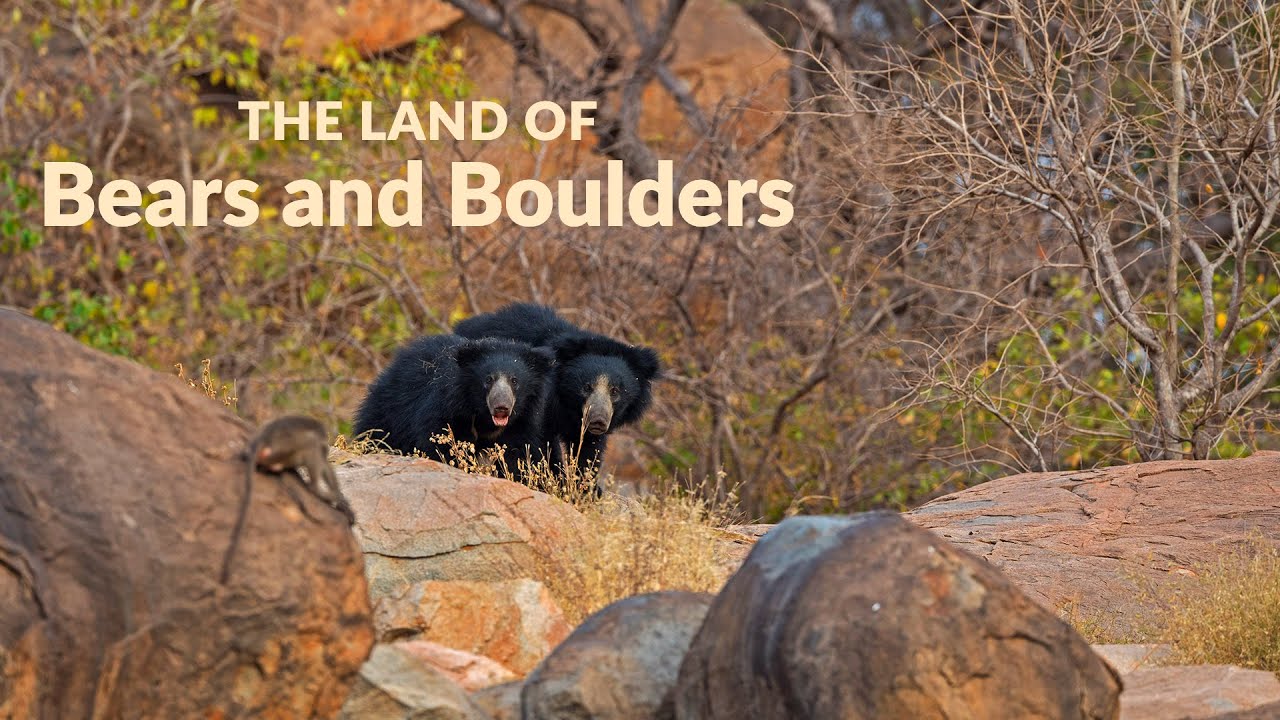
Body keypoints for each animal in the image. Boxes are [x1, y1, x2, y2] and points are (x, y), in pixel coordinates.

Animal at [353, 334, 555, 480]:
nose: (501, 407)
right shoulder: (448, 412)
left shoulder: (521, 425)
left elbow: (518, 457)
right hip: (388, 414)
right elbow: (440, 446)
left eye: (515, 381)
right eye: (488, 379)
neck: (484, 420)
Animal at [454, 303, 660, 477]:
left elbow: (588, 448)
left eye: (615, 391)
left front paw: (587, 487)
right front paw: (554, 478)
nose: (598, 420)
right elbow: (541, 443)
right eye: (586, 387)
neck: (568, 405)